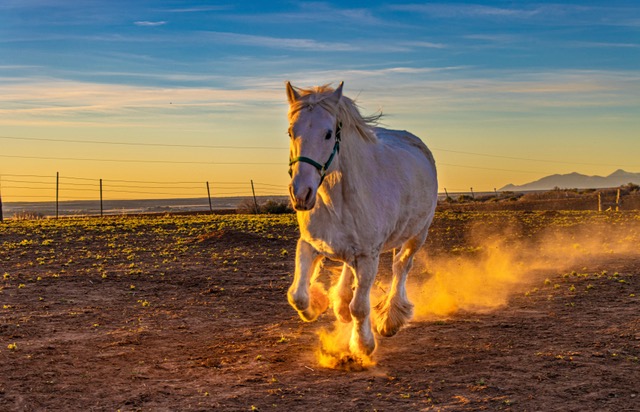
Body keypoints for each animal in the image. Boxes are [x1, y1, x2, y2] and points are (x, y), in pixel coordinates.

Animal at [285, 81, 438, 356]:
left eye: (328, 134)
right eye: (291, 132)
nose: (301, 194)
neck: (337, 201)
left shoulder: (369, 255)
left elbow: (360, 307)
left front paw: (363, 345)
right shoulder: (310, 244)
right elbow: (298, 296)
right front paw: (319, 303)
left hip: (417, 235)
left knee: (401, 267)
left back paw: (390, 319)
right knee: (349, 268)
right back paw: (341, 303)